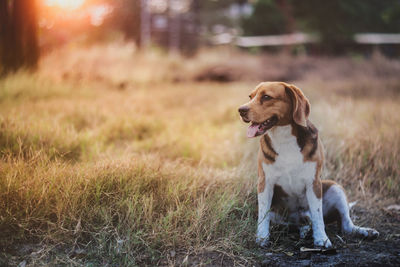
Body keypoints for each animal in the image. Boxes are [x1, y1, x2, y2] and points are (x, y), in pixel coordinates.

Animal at [239, 81, 380, 249]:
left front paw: (321, 239)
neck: (284, 137)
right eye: (250, 97)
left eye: (266, 97)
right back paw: (304, 229)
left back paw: (365, 232)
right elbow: (263, 215)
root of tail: (301, 218)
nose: (241, 110)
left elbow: (318, 215)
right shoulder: (265, 183)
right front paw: (262, 237)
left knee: (345, 225)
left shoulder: (313, 183)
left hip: (335, 187)